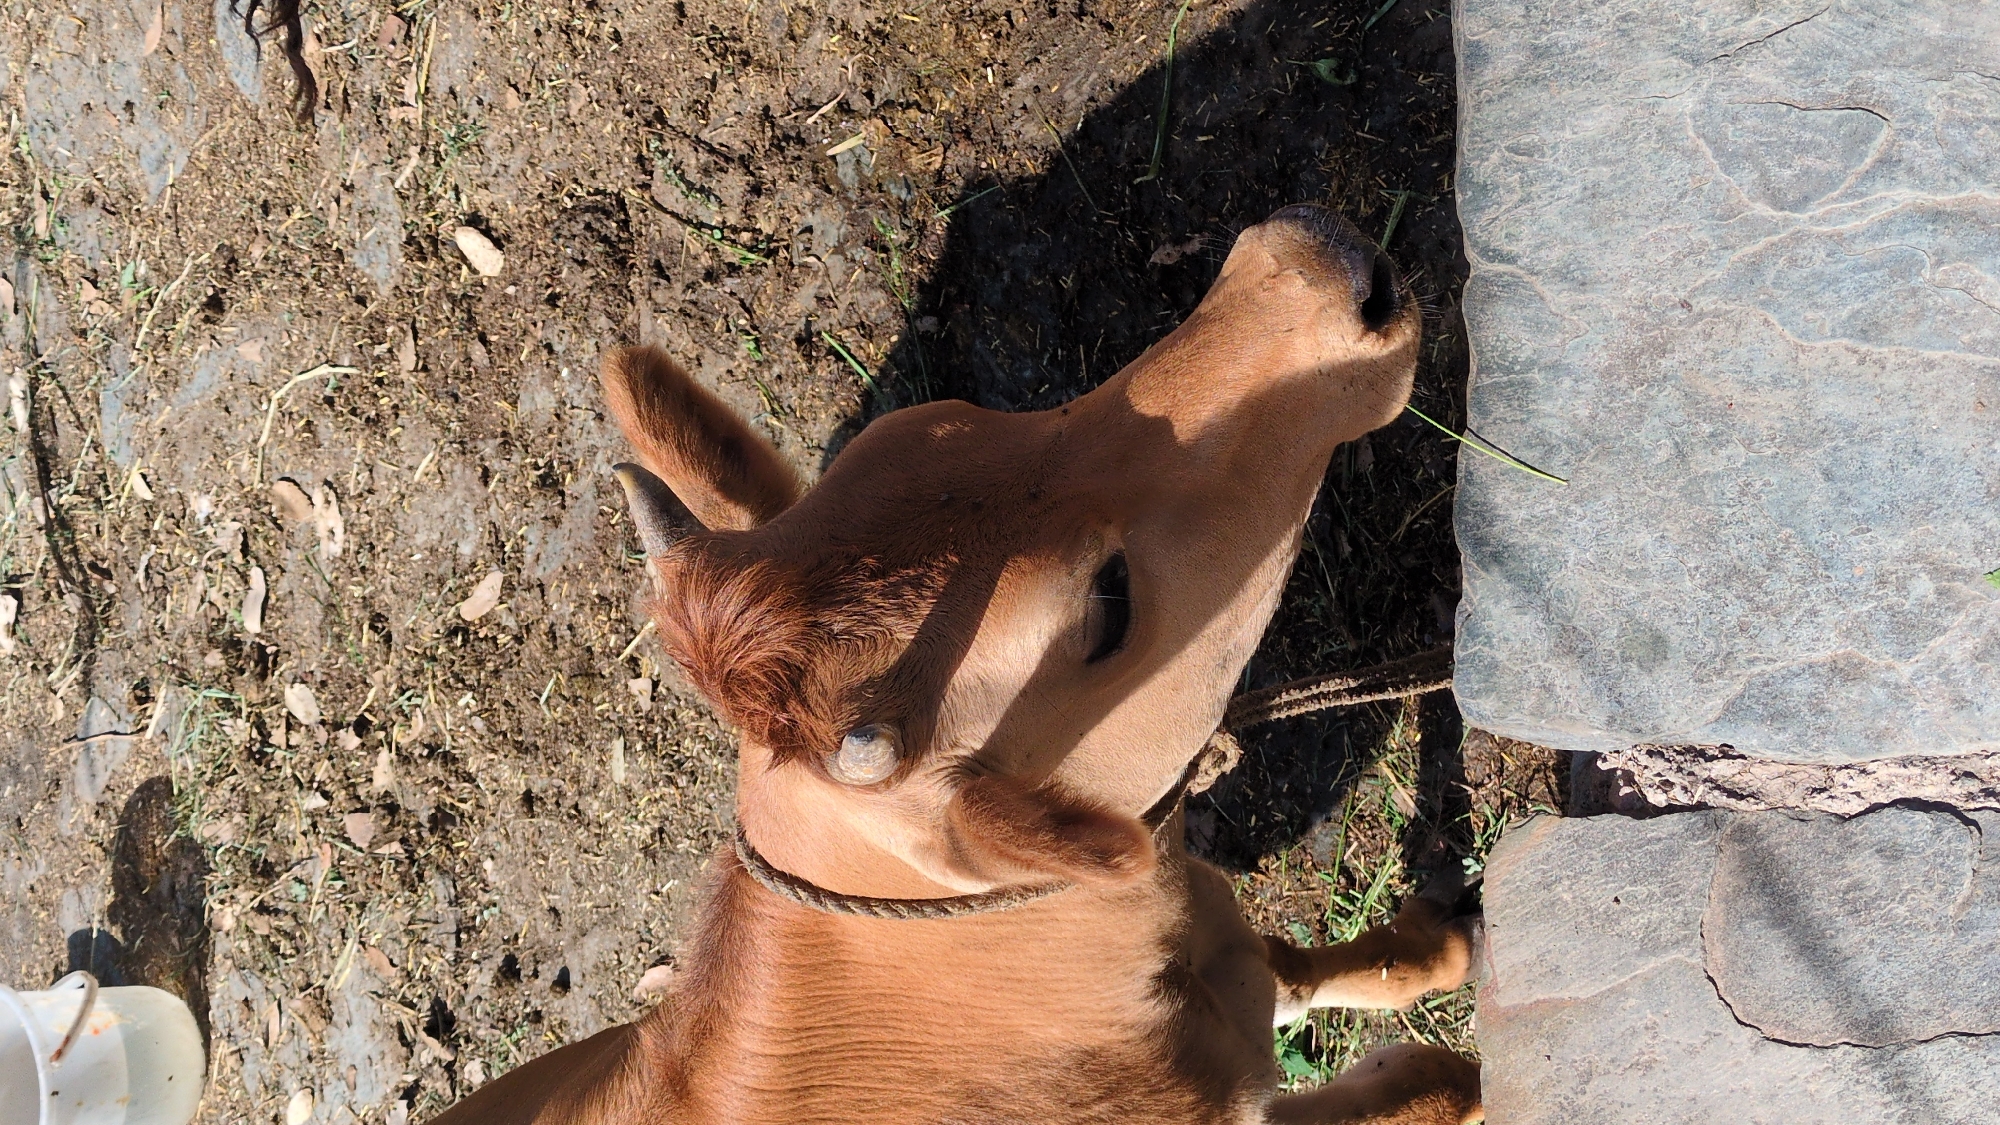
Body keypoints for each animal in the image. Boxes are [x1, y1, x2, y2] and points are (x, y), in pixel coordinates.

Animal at [432, 204, 1484, 1125]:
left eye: (960, 417)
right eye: (1108, 603)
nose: (1304, 265)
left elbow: (1316, 974)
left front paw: (1439, 941)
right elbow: (1442, 1084)